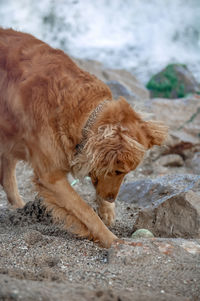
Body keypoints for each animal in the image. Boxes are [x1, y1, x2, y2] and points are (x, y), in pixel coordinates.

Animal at [0, 28, 167, 246]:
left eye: (126, 173)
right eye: (117, 171)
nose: (112, 199)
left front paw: (107, 211)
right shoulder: (50, 176)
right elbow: (85, 210)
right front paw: (110, 239)